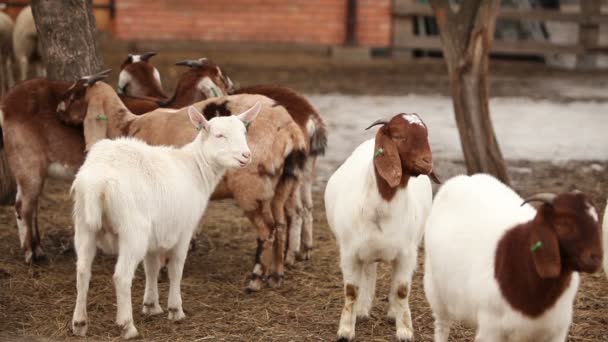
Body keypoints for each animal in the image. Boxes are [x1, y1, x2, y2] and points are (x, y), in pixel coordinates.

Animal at [55, 81, 308, 292]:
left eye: (77, 95)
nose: (58, 112)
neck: (128, 125)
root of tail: (289, 129)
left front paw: (160, 267)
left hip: (252, 188)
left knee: (268, 231)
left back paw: (256, 279)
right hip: (282, 185)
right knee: (281, 225)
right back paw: (276, 276)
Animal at [71, 102, 262, 340]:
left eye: (244, 132)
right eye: (219, 135)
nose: (246, 156)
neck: (196, 168)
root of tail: (98, 182)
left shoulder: (156, 234)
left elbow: (151, 267)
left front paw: (151, 306)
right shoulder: (185, 229)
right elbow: (176, 268)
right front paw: (175, 309)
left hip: (84, 225)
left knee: (82, 271)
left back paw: (79, 323)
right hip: (133, 230)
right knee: (122, 276)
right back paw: (127, 326)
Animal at [326, 113, 440, 342]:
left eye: (426, 134)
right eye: (398, 136)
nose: (427, 162)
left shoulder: (407, 254)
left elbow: (401, 290)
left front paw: (405, 331)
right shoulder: (350, 253)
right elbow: (351, 290)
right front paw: (345, 331)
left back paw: (391, 313)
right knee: (370, 272)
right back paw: (362, 311)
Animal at [426, 175, 600, 340]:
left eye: (596, 220)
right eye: (564, 223)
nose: (595, 258)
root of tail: (461, 179)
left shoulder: (557, 331)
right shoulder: (491, 329)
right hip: (435, 291)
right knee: (442, 325)